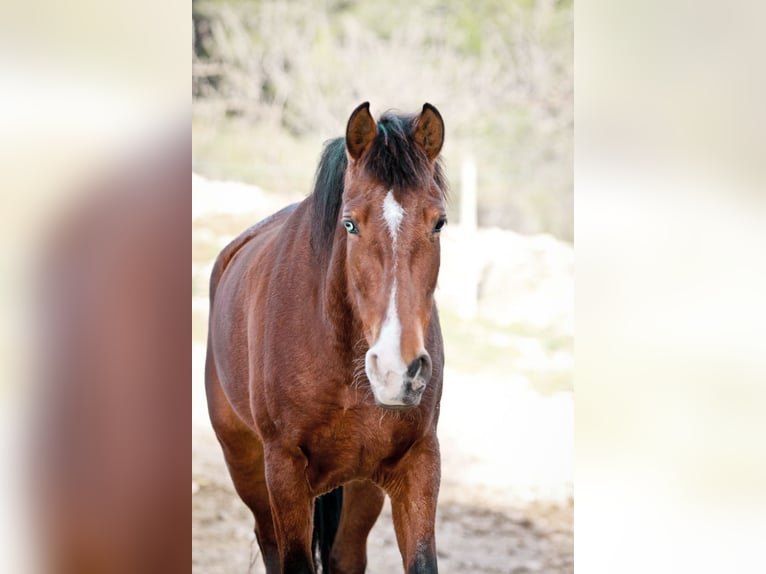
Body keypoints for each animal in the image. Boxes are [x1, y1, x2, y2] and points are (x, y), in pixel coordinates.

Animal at [207, 101, 450, 572]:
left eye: (439, 223)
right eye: (350, 224)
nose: (397, 371)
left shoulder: (418, 464)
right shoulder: (283, 470)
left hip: (360, 488)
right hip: (246, 466)